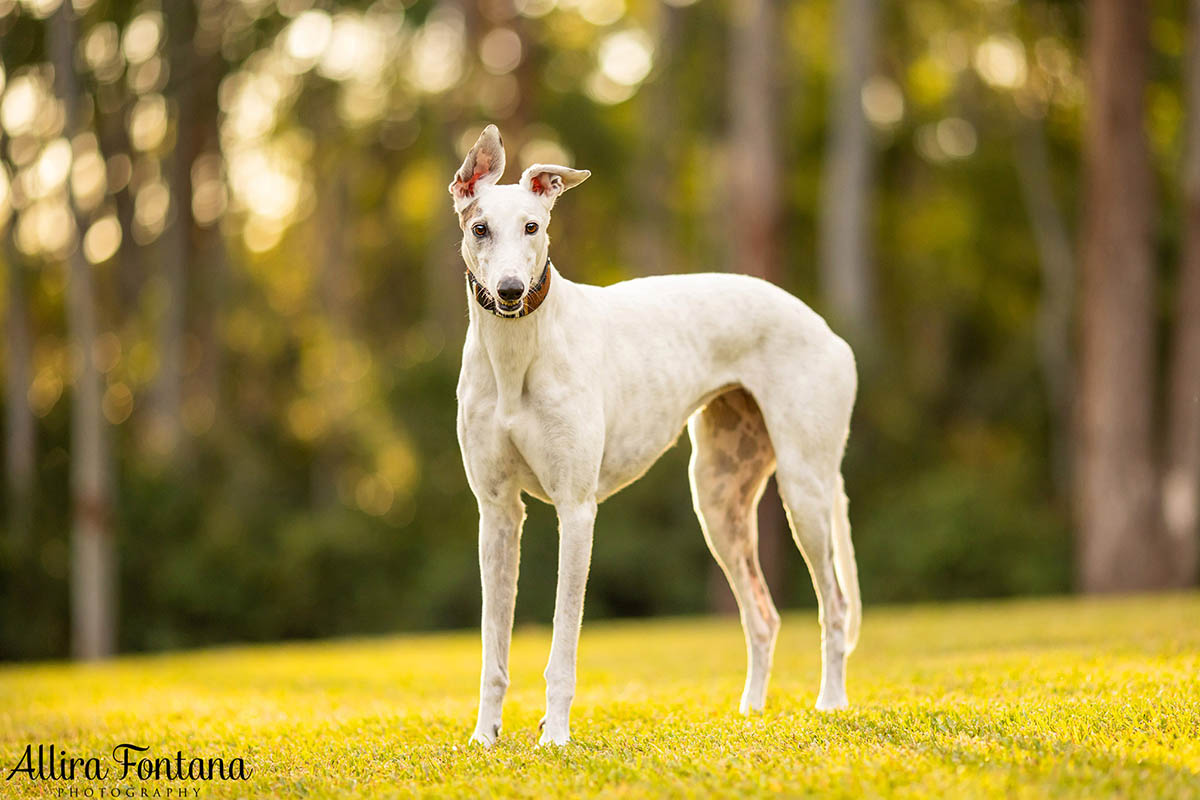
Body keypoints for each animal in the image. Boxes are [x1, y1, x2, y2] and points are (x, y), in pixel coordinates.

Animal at [451, 122, 864, 748]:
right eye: (480, 228)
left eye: (533, 226)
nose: (510, 291)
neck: (517, 357)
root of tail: (825, 329)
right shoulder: (497, 514)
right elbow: (492, 649)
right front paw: (484, 737)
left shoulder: (576, 510)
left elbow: (563, 646)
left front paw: (554, 736)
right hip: (717, 501)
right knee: (763, 616)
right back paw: (751, 711)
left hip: (805, 491)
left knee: (833, 606)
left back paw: (831, 703)